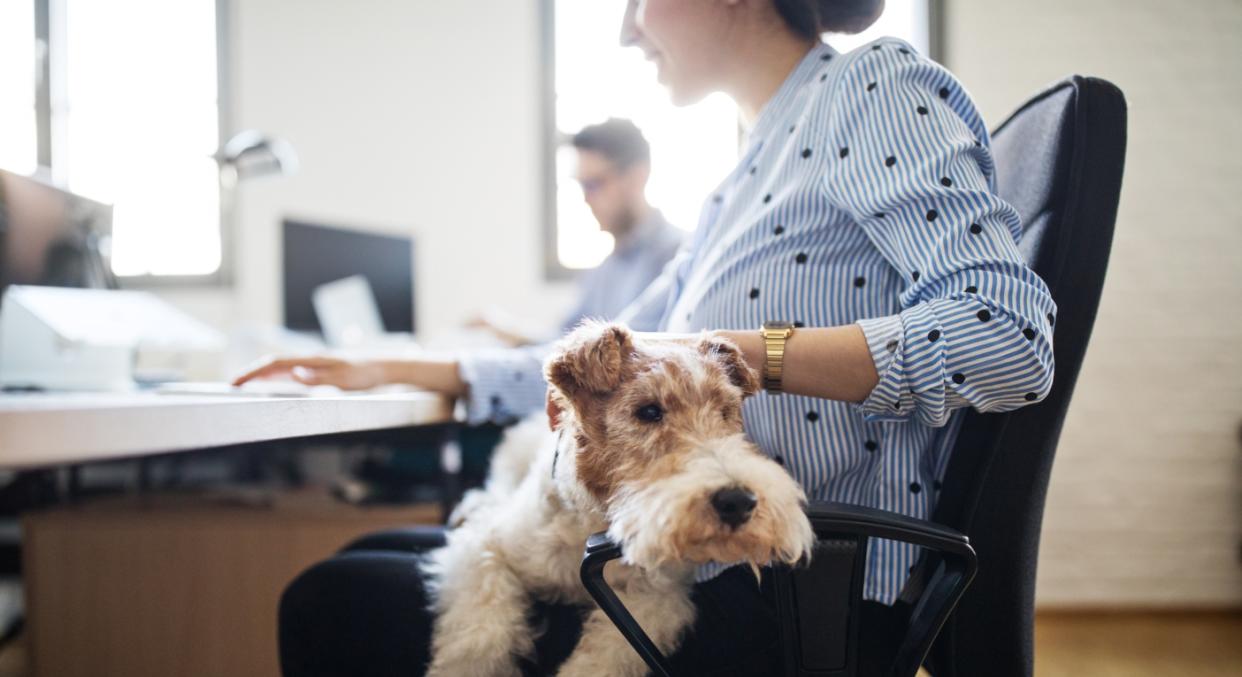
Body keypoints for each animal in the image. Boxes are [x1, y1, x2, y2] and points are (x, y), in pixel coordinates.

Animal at [422, 322, 819, 675]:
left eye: (725, 411)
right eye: (648, 411)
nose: (738, 501)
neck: (594, 520)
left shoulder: (655, 599)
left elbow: (603, 659)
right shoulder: (485, 550)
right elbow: (478, 637)